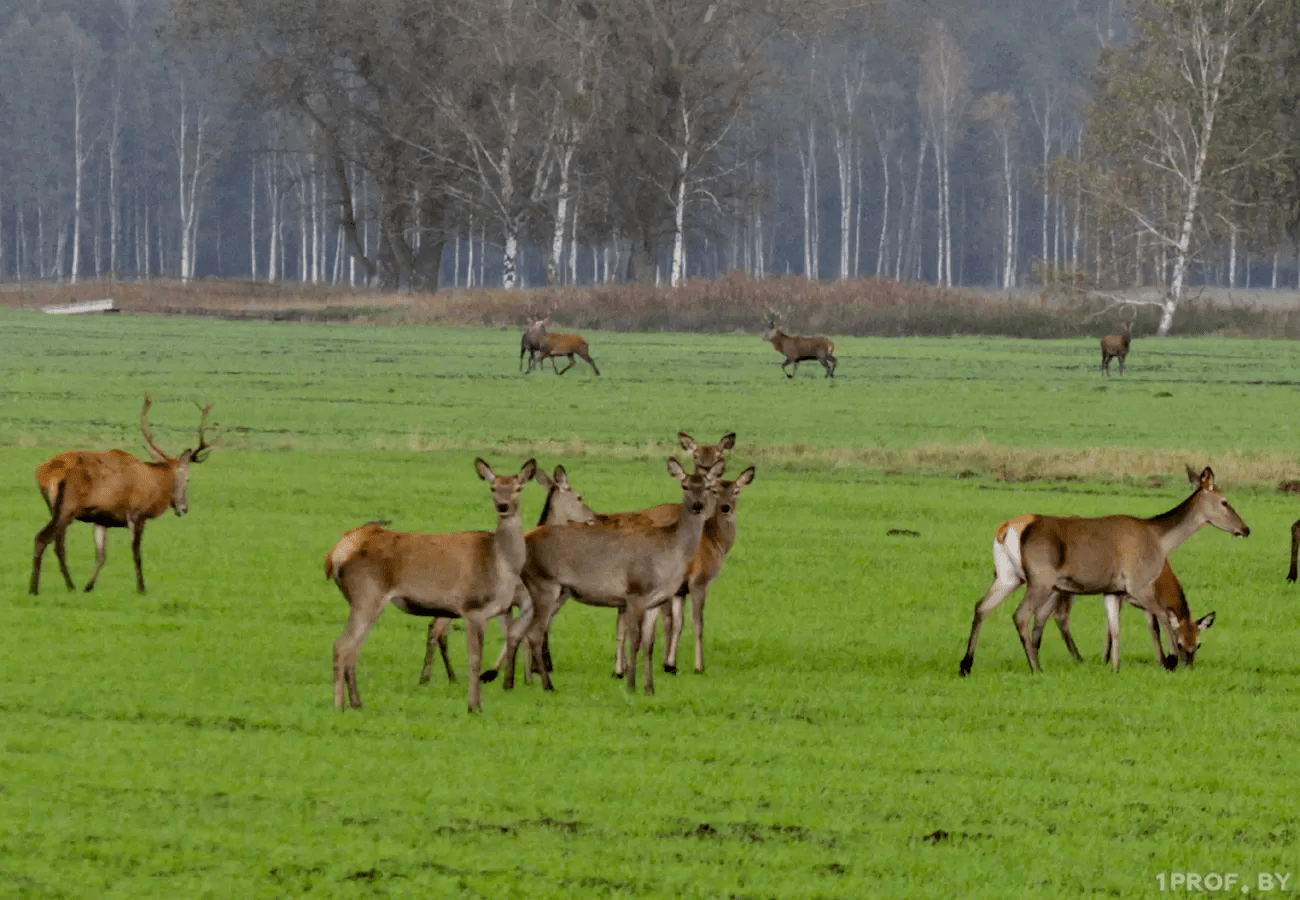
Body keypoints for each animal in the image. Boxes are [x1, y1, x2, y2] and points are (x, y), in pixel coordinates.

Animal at [30, 395, 214, 593]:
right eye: (188, 479)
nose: (184, 508)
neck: (156, 484)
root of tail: (45, 473)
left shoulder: (101, 519)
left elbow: (101, 556)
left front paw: (89, 586)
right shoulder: (137, 514)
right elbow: (136, 553)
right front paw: (141, 588)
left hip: (55, 509)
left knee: (58, 545)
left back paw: (70, 586)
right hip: (68, 507)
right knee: (42, 539)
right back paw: (34, 588)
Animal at [330, 460, 543, 712]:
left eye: (518, 488)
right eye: (493, 487)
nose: (503, 506)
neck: (502, 564)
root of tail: (336, 554)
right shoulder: (473, 608)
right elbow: (475, 660)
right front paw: (474, 706)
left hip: (366, 602)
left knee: (353, 648)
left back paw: (356, 702)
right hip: (366, 594)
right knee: (342, 646)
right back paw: (339, 704)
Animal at [499, 457, 728, 697]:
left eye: (707, 487)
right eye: (685, 486)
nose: (697, 505)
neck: (672, 553)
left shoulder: (656, 600)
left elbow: (649, 644)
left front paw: (649, 687)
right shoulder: (636, 592)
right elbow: (635, 640)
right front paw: (631, 684)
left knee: (517, 630)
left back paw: (509, 682)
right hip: (544, 585)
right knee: (534, 632)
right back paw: (546, 684)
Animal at [956, 463, 1248, 676]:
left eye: (1199, 644)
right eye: (1224, 501)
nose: (1245, 529)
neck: (1159, 540)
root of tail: (1006, 527)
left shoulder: (1113, 590)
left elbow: (1115, 627)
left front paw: (1115, 667)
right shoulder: (1138, 584)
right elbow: (1163, 618)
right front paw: (1169, 660)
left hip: (1008, 575)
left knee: (981, 606)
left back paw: (966, 665)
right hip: (1040, 579)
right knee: (1021, 615)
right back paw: (1036, 667)